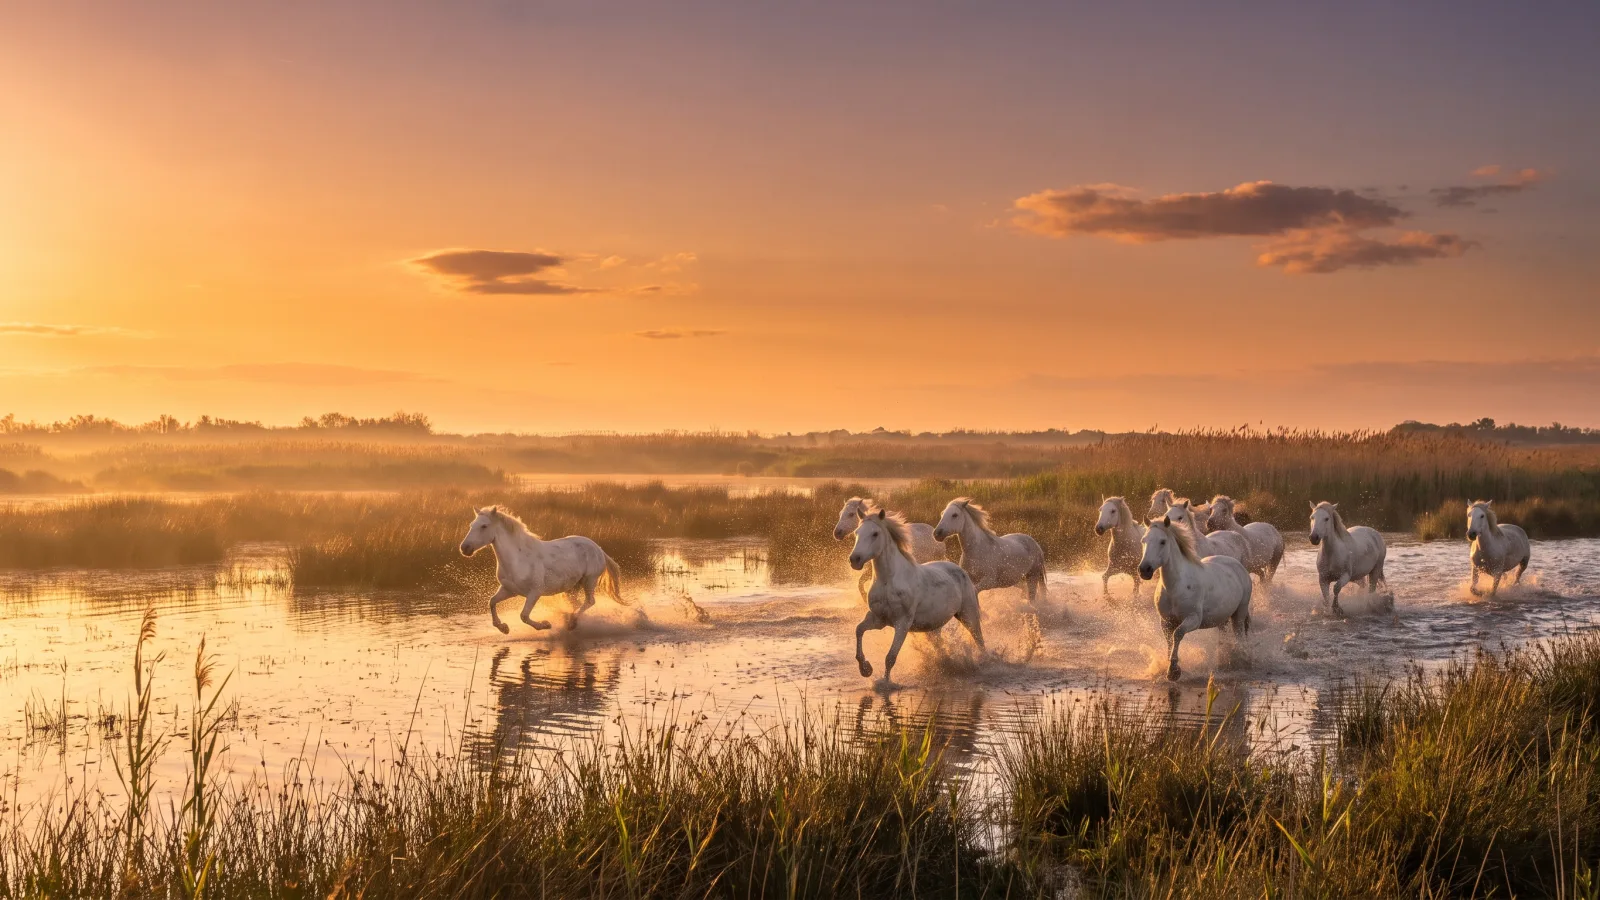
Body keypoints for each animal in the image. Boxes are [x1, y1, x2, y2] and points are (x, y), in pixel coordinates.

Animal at [459, 506, 632, 633]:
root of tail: (598, 549)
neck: (518, 559)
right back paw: (570, 621)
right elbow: (492, 602)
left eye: (484, 526)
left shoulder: (535, 592)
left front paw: (545, 625)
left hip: (589, 580)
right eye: (471, 525)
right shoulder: (509, 590)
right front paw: (504, 628)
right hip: (572, 587)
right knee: (577, 603)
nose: (465, 548)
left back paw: (571, 623)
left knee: (589, 601)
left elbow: (523, 616)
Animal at [849, 508, 984, 683]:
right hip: (935, 626)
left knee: (979, 640)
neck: (888, 582)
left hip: (968, 615)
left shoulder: (902, 622)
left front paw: (885, 683)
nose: (854, 559)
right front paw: (865, 669)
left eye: (875, 534)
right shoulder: (878, 619)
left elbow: (890, 657)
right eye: (856, 532)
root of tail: (960, 570)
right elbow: (859, 630)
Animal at [1139, 517, 1252, 681]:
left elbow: (1177, 634)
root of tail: (1238, 566)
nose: (1144, 570)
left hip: (1239, 613)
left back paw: (1243, 662)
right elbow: (1169, 640)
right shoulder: (1166, 621)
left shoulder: (1193, 619)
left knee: (1240, 635)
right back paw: (1223, 663)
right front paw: (1169, 668)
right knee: (1224, 638)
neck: (1175, 587)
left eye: (1162, 541)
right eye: (1144, 540)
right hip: (1222, 619)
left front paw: (1174, 670)